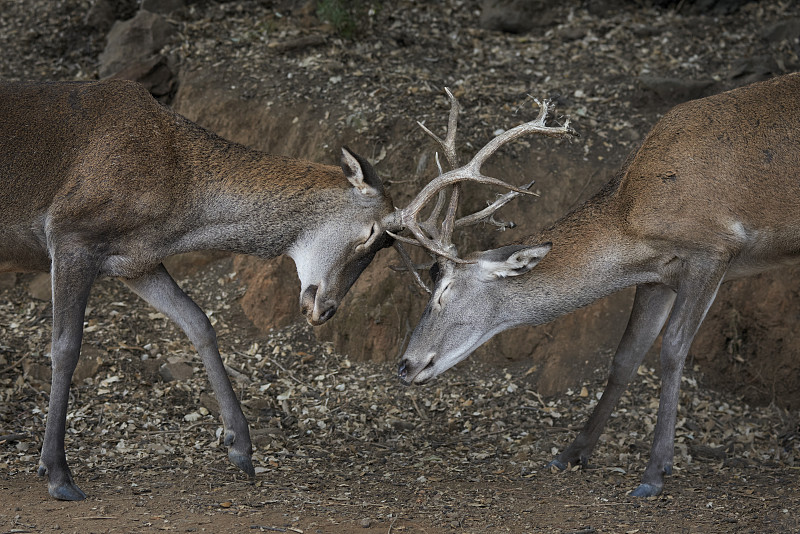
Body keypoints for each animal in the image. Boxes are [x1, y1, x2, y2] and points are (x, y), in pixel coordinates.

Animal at [1, 79, 536, 502]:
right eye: (372, 235)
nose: (326, 309)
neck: (176, 203)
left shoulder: (136, 261)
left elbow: (199, 321)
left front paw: (241, 447)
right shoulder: (70, 233)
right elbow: (65, 347)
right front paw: (58, 473)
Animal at [396, 73, 800, 500]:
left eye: (444, 290)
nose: (405, 365)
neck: (634, 220)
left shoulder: (715, 249)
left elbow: (673, 349)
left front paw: (654, 473)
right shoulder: (658, 276)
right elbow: (626, 355)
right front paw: (570, 454)